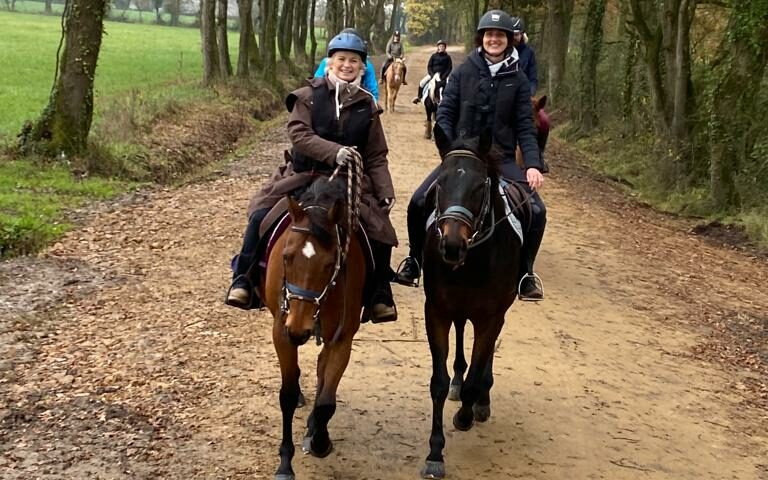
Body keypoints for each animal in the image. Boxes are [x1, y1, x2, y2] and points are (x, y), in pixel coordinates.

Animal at [262, 175, 368, 480]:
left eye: (330, 263)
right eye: (286, 257)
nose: (299, 328)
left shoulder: (342, 337)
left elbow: (326, 402)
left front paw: (320, 439)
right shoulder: (281, 331)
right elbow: (286, 395)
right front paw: (285, 463)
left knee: (321, 368)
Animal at [420, 125, 520, 478]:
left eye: (479, 186)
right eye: (441, 182)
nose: (451, 245)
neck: (473, 260)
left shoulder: (490, 317)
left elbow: (476, 379)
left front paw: (466, 413)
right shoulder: (436, 311)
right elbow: (437, 383)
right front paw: (435, 453)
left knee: (484, 355)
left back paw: (480, 402)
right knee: (463, 334)